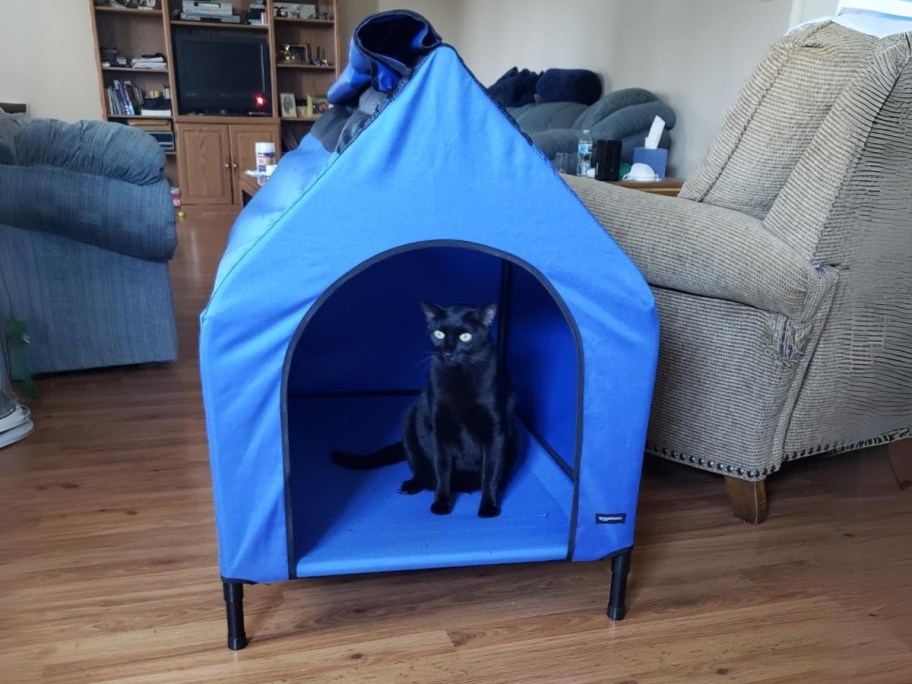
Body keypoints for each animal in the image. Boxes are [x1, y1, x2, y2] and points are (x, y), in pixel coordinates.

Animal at [330, 302, 516, 516]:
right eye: (439, 334)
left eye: (465, 337)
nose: (447, 352)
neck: (460, 378)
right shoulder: (439, 429)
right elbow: (442, 470)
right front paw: (441, 504)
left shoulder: (495, 432)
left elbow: (491, 473)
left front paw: (488, 507)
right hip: (410, 423)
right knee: (423, 471)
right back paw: (411, 485)